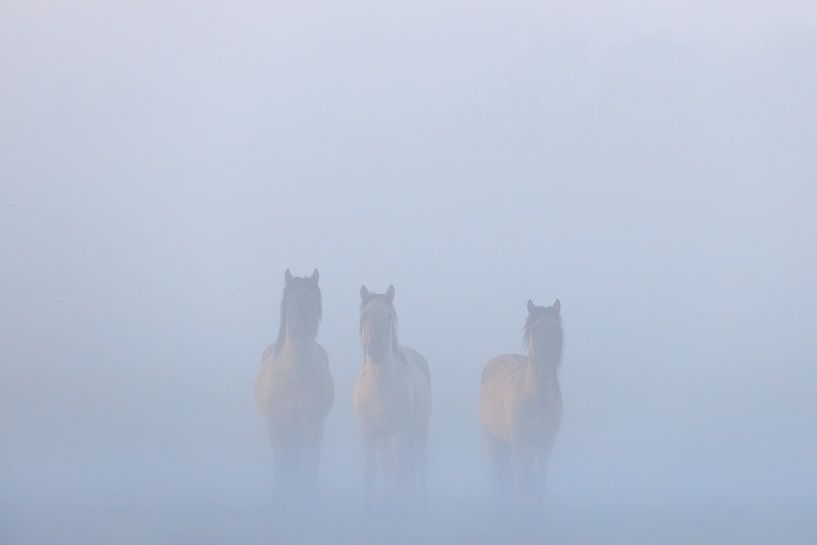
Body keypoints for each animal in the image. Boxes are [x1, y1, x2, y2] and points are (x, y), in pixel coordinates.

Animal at [255, 268, 334, 506]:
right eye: (290, 302)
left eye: (314, 301)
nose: (302, 331)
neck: (297, 377)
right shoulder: (276, 425)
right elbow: (281, 464)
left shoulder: (313, 424)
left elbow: (309, 463)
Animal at [353, 285, 432, 511]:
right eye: (364, 316)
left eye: (388, 317)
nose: (375, 349)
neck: (380, 389)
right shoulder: (369, 433)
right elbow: (371, 471)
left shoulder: (400, 432)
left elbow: (400, 471)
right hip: (384, 437)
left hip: (419, 431)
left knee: (418, 463)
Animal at [479, 299, 563, 518]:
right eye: (534, 330)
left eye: (555, 329)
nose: (545, 365)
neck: (536, 399)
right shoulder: (520, 443)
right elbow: (522, 481)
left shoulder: (546, 443)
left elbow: (538, 481)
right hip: (493, 440)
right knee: (499, 476)